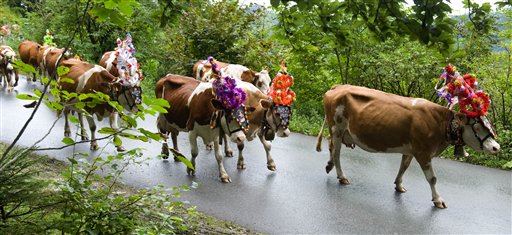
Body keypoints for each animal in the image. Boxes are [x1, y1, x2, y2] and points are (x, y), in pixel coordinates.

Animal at [316, 83, 500, 208]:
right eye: (476, 126)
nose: (496, 147)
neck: (441, 124)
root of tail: (339, 86)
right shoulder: (423, 152)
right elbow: (432, 178)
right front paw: (438, 200)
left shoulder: (411, 149)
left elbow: (403, 166)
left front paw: (398, 185)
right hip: (337, 126)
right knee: (337, 151)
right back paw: (341, 176)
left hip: (339, 130)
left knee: (331, 146)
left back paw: (329, 166)